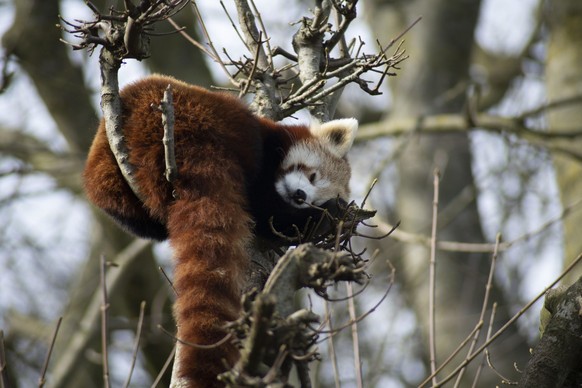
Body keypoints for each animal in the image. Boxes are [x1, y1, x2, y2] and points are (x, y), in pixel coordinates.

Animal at [84, 74, 358, 386]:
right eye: (312, 175)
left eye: (315, 194)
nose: (301, 197)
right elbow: (269, 208)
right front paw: (324, 214)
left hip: (112, 186)